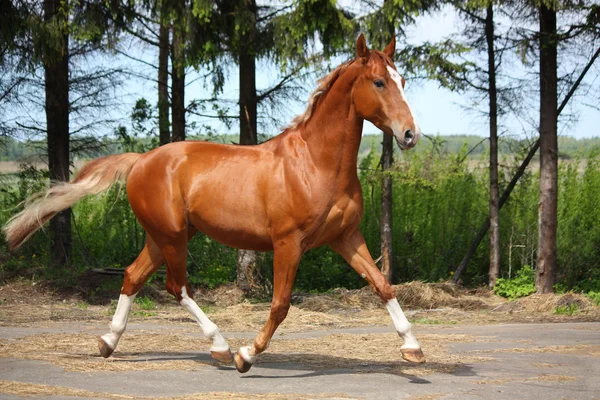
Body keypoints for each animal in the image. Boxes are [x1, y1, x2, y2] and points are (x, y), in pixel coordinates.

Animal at [4, 34, 426, 372]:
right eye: (379, 82)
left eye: (403, 81)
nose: (410, 135)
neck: (315, 164)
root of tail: (140, 159)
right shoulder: (288, 243)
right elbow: (280, 304)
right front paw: (246, 355)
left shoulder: (345, 237)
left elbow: (383, 286)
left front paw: (413, 348)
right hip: (172, 236)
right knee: (177, 286)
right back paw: (221, 347)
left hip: (162, 237)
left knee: (133, 276)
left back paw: (108, 342)